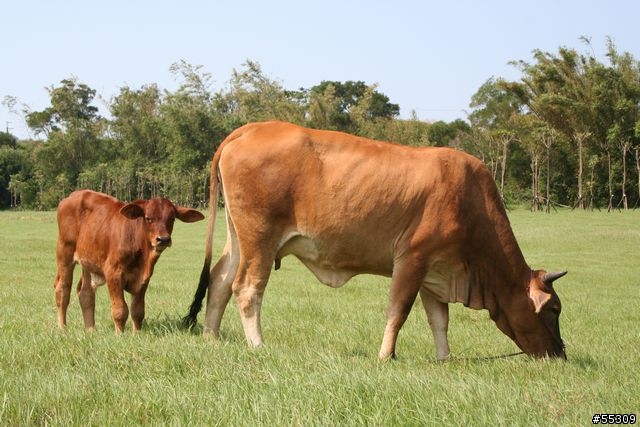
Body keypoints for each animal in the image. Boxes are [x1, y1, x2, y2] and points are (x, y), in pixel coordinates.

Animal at [57, 191, 204, 334]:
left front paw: (136, 334)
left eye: (172, 218)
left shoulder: (144, 279)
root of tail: (72, 196)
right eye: (148, 218)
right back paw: (62, 328)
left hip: (88, 263)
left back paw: (91, 330)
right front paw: (120, 335)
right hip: (65, 253)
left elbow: (138, 310)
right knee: (62, 291)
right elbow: (120, 310)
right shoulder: (113, 273)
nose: (163, 239)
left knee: (86, 294)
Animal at [184, 121, 564, 362]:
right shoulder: (411, 260)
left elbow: (439, 319)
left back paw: (211, 336)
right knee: (247, 288)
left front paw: (445, 358)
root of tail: (250, 128)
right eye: (554, 310)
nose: (560, 353)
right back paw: (258, 345)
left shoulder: (435, 272)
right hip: (260, 239)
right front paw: (386, 356)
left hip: (239, 238)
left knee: (219, 280)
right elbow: (398, 311)